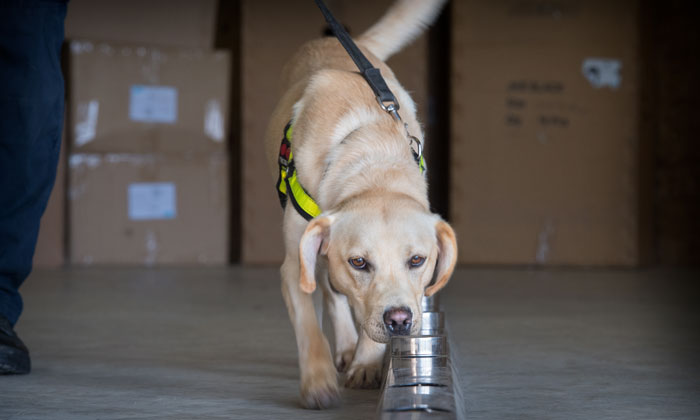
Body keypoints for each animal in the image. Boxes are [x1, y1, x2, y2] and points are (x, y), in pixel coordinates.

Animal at [262, 0, 454, 408]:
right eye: (359, 262)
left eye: (418, 260)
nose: (399, 321)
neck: (373, 164)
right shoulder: (296, 264)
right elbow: (310, 324)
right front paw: (318, 382)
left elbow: (366, 311)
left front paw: (366, 361)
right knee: (332, 294)